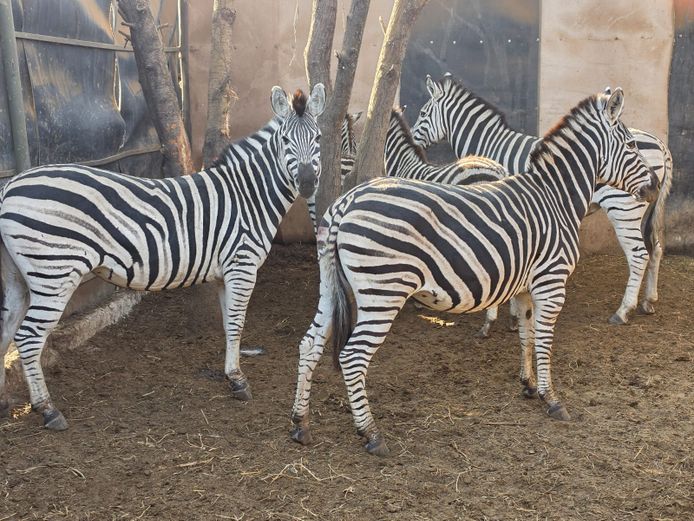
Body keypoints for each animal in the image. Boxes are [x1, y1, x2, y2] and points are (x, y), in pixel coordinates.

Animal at [0, 84, 325, 430]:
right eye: (285, 140)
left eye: (318, 138)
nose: (307, 184)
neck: (247, 195)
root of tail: (11, 186)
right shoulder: (243, 265)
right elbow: (237, 323)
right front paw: (239, 380)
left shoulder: (226, 272)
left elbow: (228, 324)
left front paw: (230, 375)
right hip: (54, 272)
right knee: (29, 336)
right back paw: (48, 410)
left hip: (20, 276)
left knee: (6, 329)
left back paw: (4, 402)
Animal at [290, 88, 659, 456]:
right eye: (630, 145)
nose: (655, 185)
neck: (556, 197)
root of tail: (345, 202)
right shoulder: (551, 282)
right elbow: (544, 340)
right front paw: (552, 399)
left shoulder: (525, 285)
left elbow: (527, 335)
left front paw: (529, 385)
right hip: (383, 290)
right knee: (353, 356)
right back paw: (370, 434)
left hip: (332, 285)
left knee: (309, 344)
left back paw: (300, 424)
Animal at [411, 74, 673, 327]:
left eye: (422, 113)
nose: (413, 141)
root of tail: (660, 144)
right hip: (646, 209)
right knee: (656, 248)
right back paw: (648, 301)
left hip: (624, 206)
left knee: (638, 254)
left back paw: (623, 310)